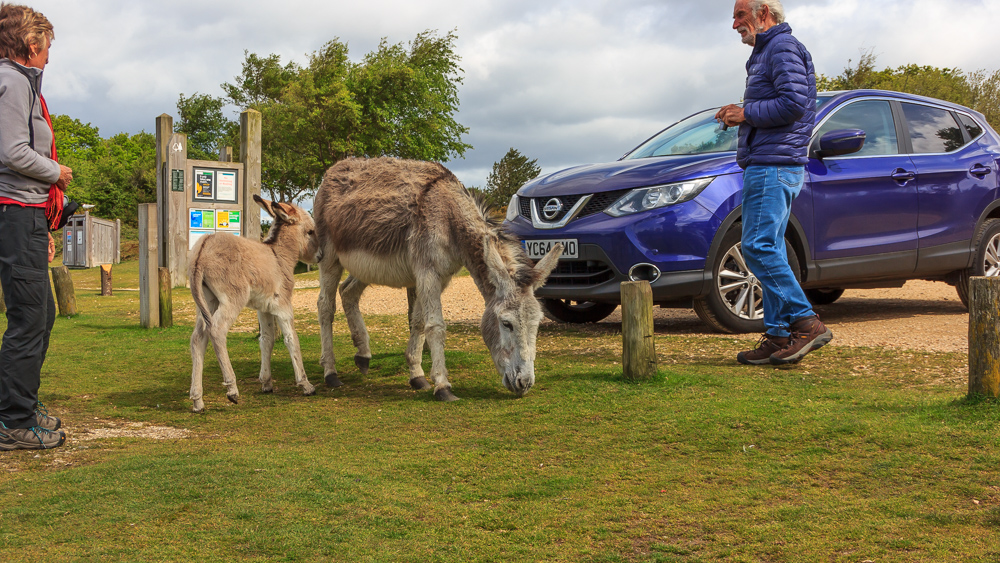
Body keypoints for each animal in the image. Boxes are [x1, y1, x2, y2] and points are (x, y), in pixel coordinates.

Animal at [189, 196, 318, 412]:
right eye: (311, 231)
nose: (320, 256)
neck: (279, 257)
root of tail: (204, 246)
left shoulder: (264, 308)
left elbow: (267, 339)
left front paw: (266, 382)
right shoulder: (284, 306)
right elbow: (292, 340)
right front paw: (305, 385)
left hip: (207, 301)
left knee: (199, 337)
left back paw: (197, 400)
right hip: (232, 299)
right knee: (216, 330)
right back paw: (232, 389)